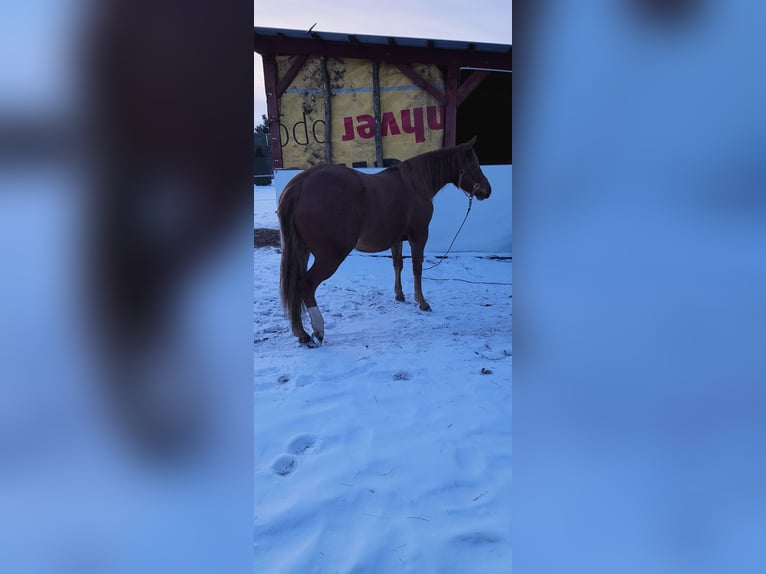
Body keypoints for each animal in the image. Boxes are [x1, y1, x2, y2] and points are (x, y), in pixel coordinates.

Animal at [277, 136, 492, 347]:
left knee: (295, 286)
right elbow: (417, 268)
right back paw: (317, 330)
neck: (415, 185)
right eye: (474, 164)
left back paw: (302, 333)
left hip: (302, 251)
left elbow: (398, 265)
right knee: (306, 285)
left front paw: (399, 295)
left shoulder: (396, 239)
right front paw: (421, 302)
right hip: (330, 256)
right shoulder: (419, 236)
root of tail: (301, 184)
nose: (487, 190)